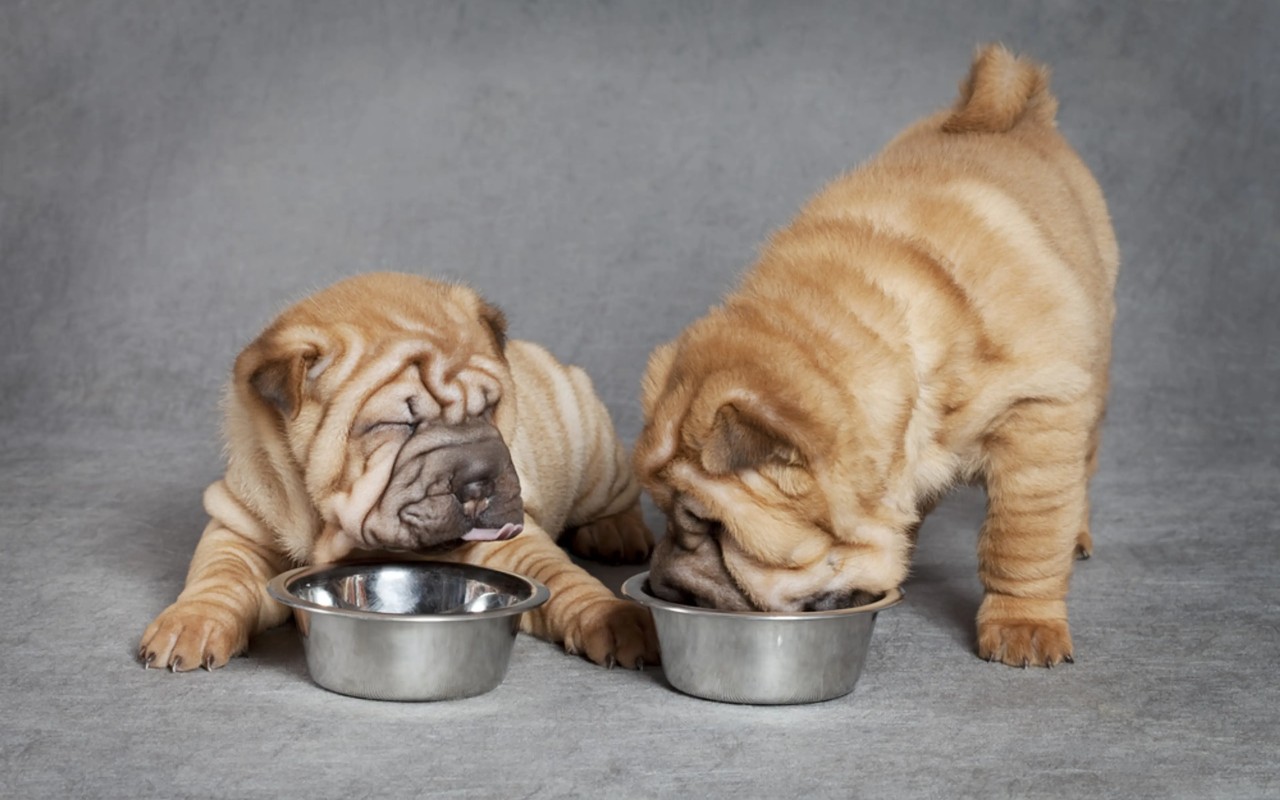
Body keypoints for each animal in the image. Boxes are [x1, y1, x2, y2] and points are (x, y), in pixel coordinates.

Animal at [141, 271, 660, 670]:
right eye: (401, 424)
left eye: (489, 408)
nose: (480, 480)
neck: (330, 527)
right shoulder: (240, 524)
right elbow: (219, 575)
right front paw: (190, 625)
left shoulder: (511, 543)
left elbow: (560, 575)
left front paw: (614, 618)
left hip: (594, 450)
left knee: (614, 499)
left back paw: (615, 533)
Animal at [634, 45, 1116, 665]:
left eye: (709, 526)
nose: (665, 586)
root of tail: (1023, 115)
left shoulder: (1038, 412)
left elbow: (1022, 538)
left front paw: (1022, 626)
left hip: (1092, 375)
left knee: (1081, 468)